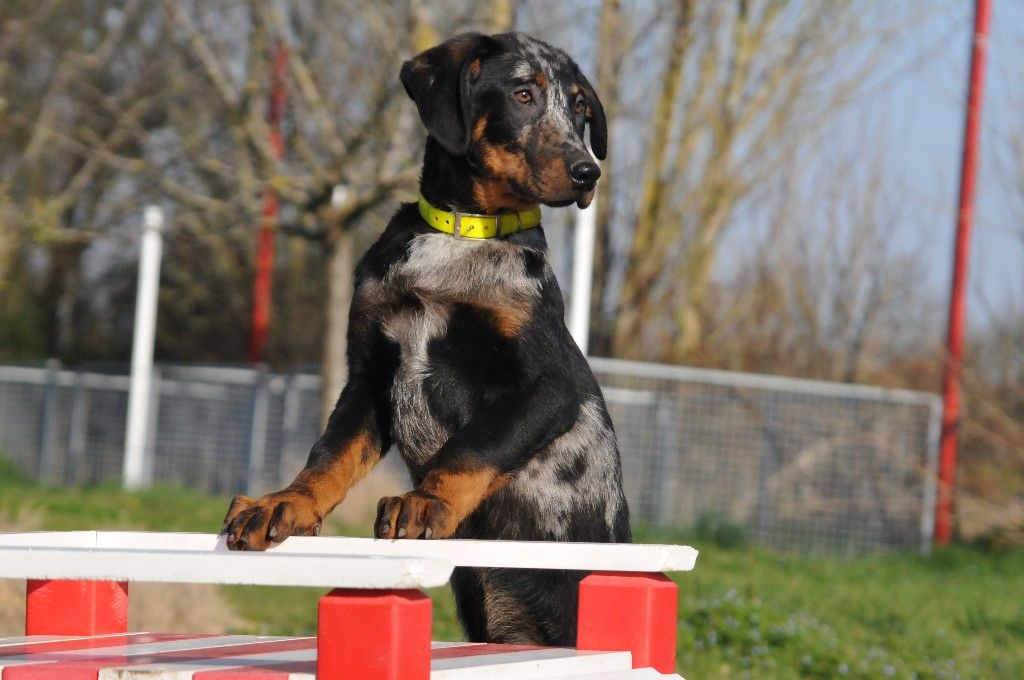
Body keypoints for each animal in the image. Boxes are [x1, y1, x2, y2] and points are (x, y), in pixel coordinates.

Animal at [221, 32, 630, 647]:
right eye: (524, 93)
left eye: (582, 110)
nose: (589, 174)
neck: (461, 237)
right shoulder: (369, 377)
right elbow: (329, 454)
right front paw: (284, 502)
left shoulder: (548, 384)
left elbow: (474, 446)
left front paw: (426, 500)